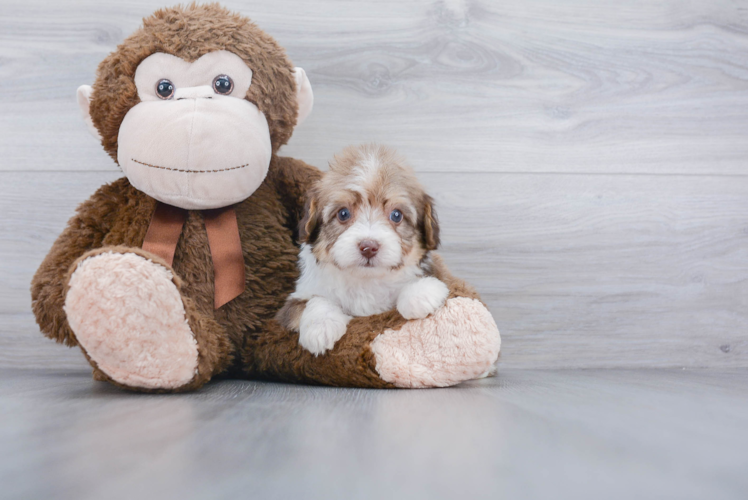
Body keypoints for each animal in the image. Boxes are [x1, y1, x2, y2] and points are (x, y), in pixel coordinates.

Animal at [276, 144, 448, 356]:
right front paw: (321, 326)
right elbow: (311, 301)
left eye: (396, 215)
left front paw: (419, 295)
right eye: (343, 213)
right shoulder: (294, 302)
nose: (368, 247)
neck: (365, 280)